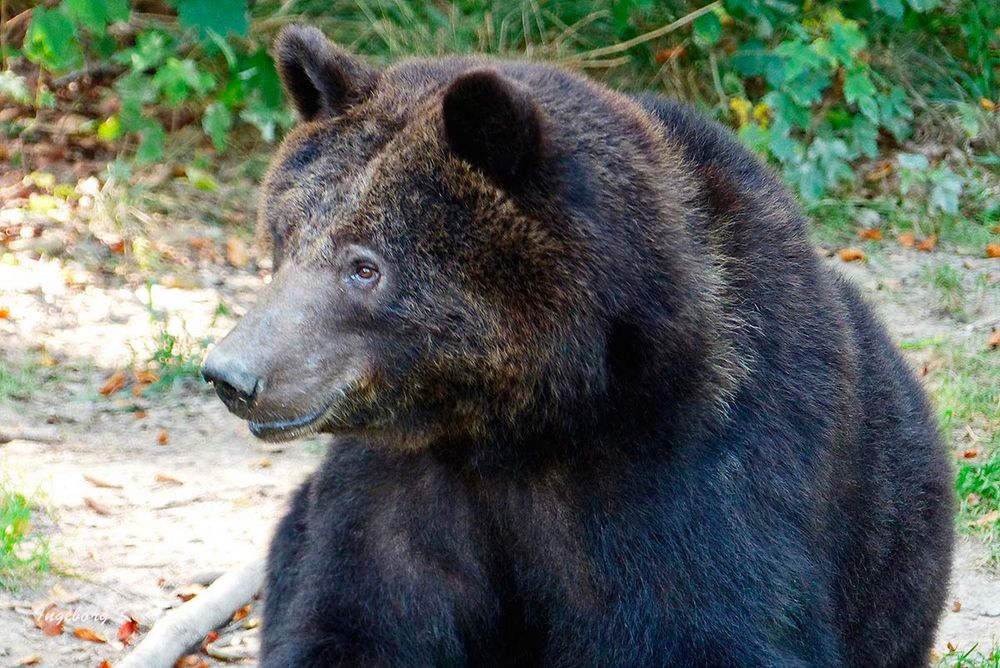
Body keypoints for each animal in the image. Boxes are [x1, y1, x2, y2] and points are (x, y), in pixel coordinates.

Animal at [201, 23, 952, 668]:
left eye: (365, 266)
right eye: (286, 235)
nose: (232, 375)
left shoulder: (700, 466)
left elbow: (708, 623)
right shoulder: (406, 480)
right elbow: (358, 612)